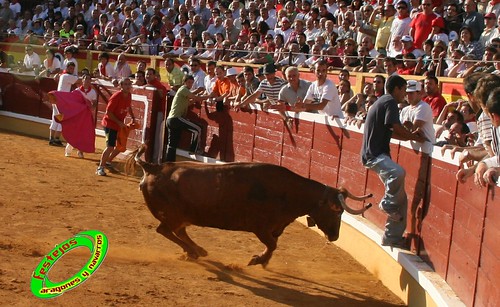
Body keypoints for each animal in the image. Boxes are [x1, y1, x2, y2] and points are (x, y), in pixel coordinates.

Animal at [129, 146, 372, 266]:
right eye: (336, 210)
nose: (335, 237)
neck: (288, 192)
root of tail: (153, 167)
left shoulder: (274, 228)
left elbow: (274, 244)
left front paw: (263, 261)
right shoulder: (261, 228)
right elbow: (273, 245)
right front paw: (258, 260)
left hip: (182, 216)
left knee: (178, 231)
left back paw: (197, 251)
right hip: (171, 215)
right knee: (165, 230)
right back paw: (193, 251)